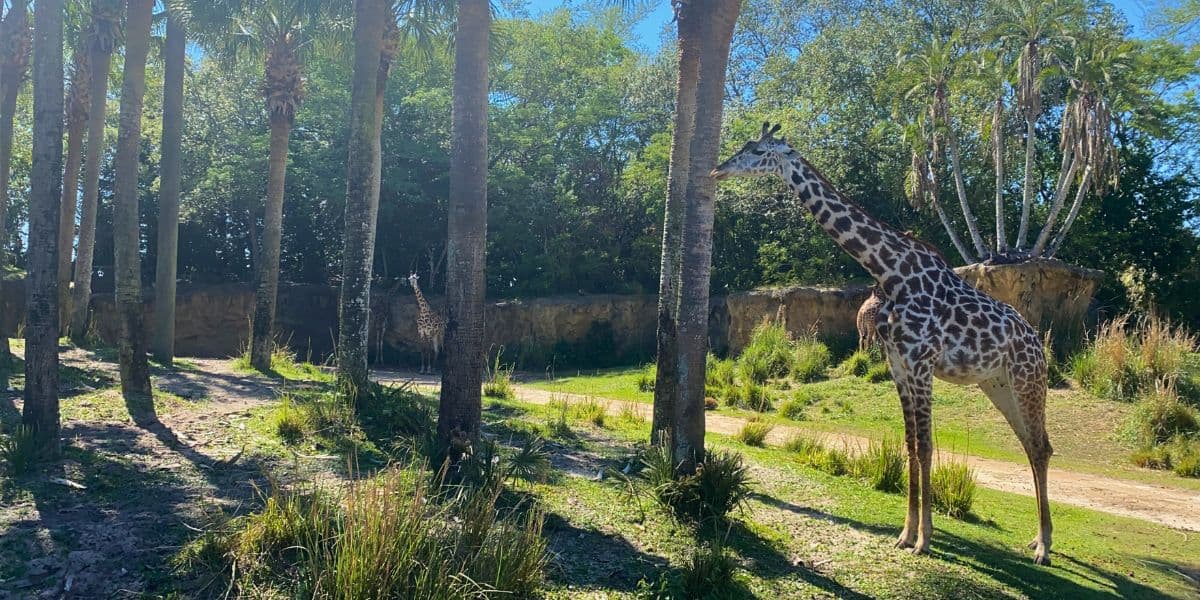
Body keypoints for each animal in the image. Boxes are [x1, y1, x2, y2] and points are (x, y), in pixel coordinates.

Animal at [713, 123, 1053, 565]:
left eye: (756, 151)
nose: (718, 170)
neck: (891, 272)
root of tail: (1038, 344)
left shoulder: (921, 363)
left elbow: (925, 446)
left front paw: (925, 540)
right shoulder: (898, 364)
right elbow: (909, 445)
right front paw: (905, 534)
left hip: (1028, 380)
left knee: (1041, 446)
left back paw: (1044, 546)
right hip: (998, 384)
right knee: (1031, 444)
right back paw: (1035, 539)